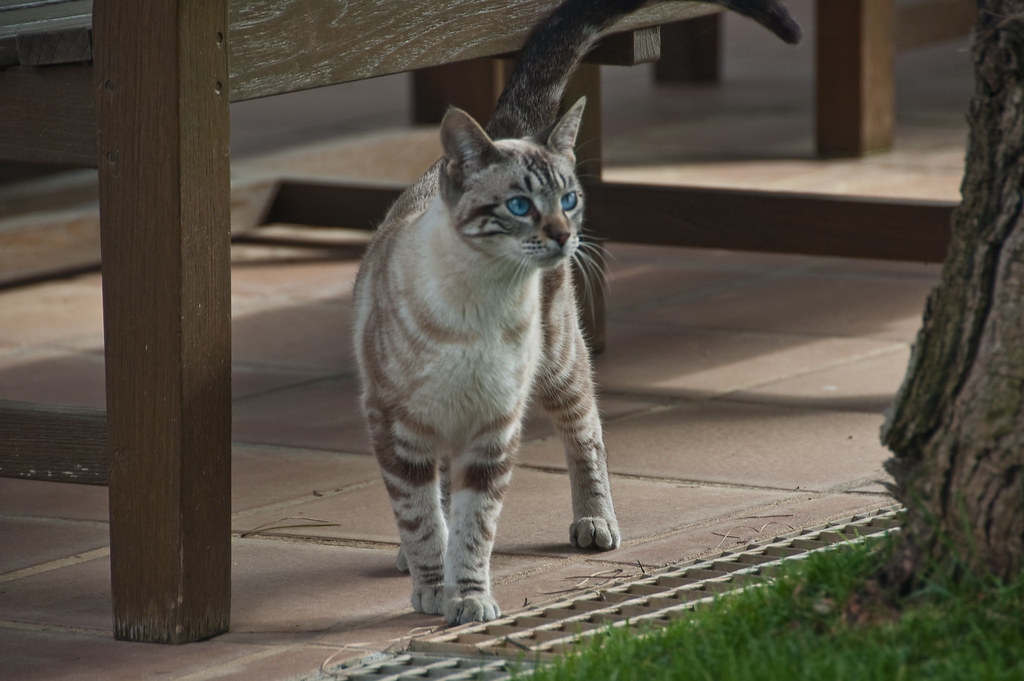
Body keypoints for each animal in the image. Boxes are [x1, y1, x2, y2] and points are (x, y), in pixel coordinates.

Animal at [356, 0, 802, 622]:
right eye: (520, 206)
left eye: (569, 199)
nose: (565, 235)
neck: (478, 305)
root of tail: (507, 130)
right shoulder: (397, 428)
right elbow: (422, 519)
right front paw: (431, 587)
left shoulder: (494, 432)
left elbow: (475, 530)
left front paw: (467, 597)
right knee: (435, 493)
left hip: (558, 360)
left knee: (585, 428)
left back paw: (596, 521)